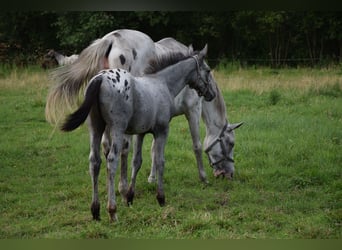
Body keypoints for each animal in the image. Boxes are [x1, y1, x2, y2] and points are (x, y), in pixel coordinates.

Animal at [58, 47, 214, 221]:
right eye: (208, 70)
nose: (211, 94)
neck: (162, 83)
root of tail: (100, 79)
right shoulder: (162, 131)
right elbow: (160, 161)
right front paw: (161, 198)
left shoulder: (141, 133)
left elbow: (136, 161)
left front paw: (130, 197)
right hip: (117, 129)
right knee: (111, 160)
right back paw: (112, 211)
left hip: (96, 128)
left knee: (94, 161)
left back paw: (95, 210)